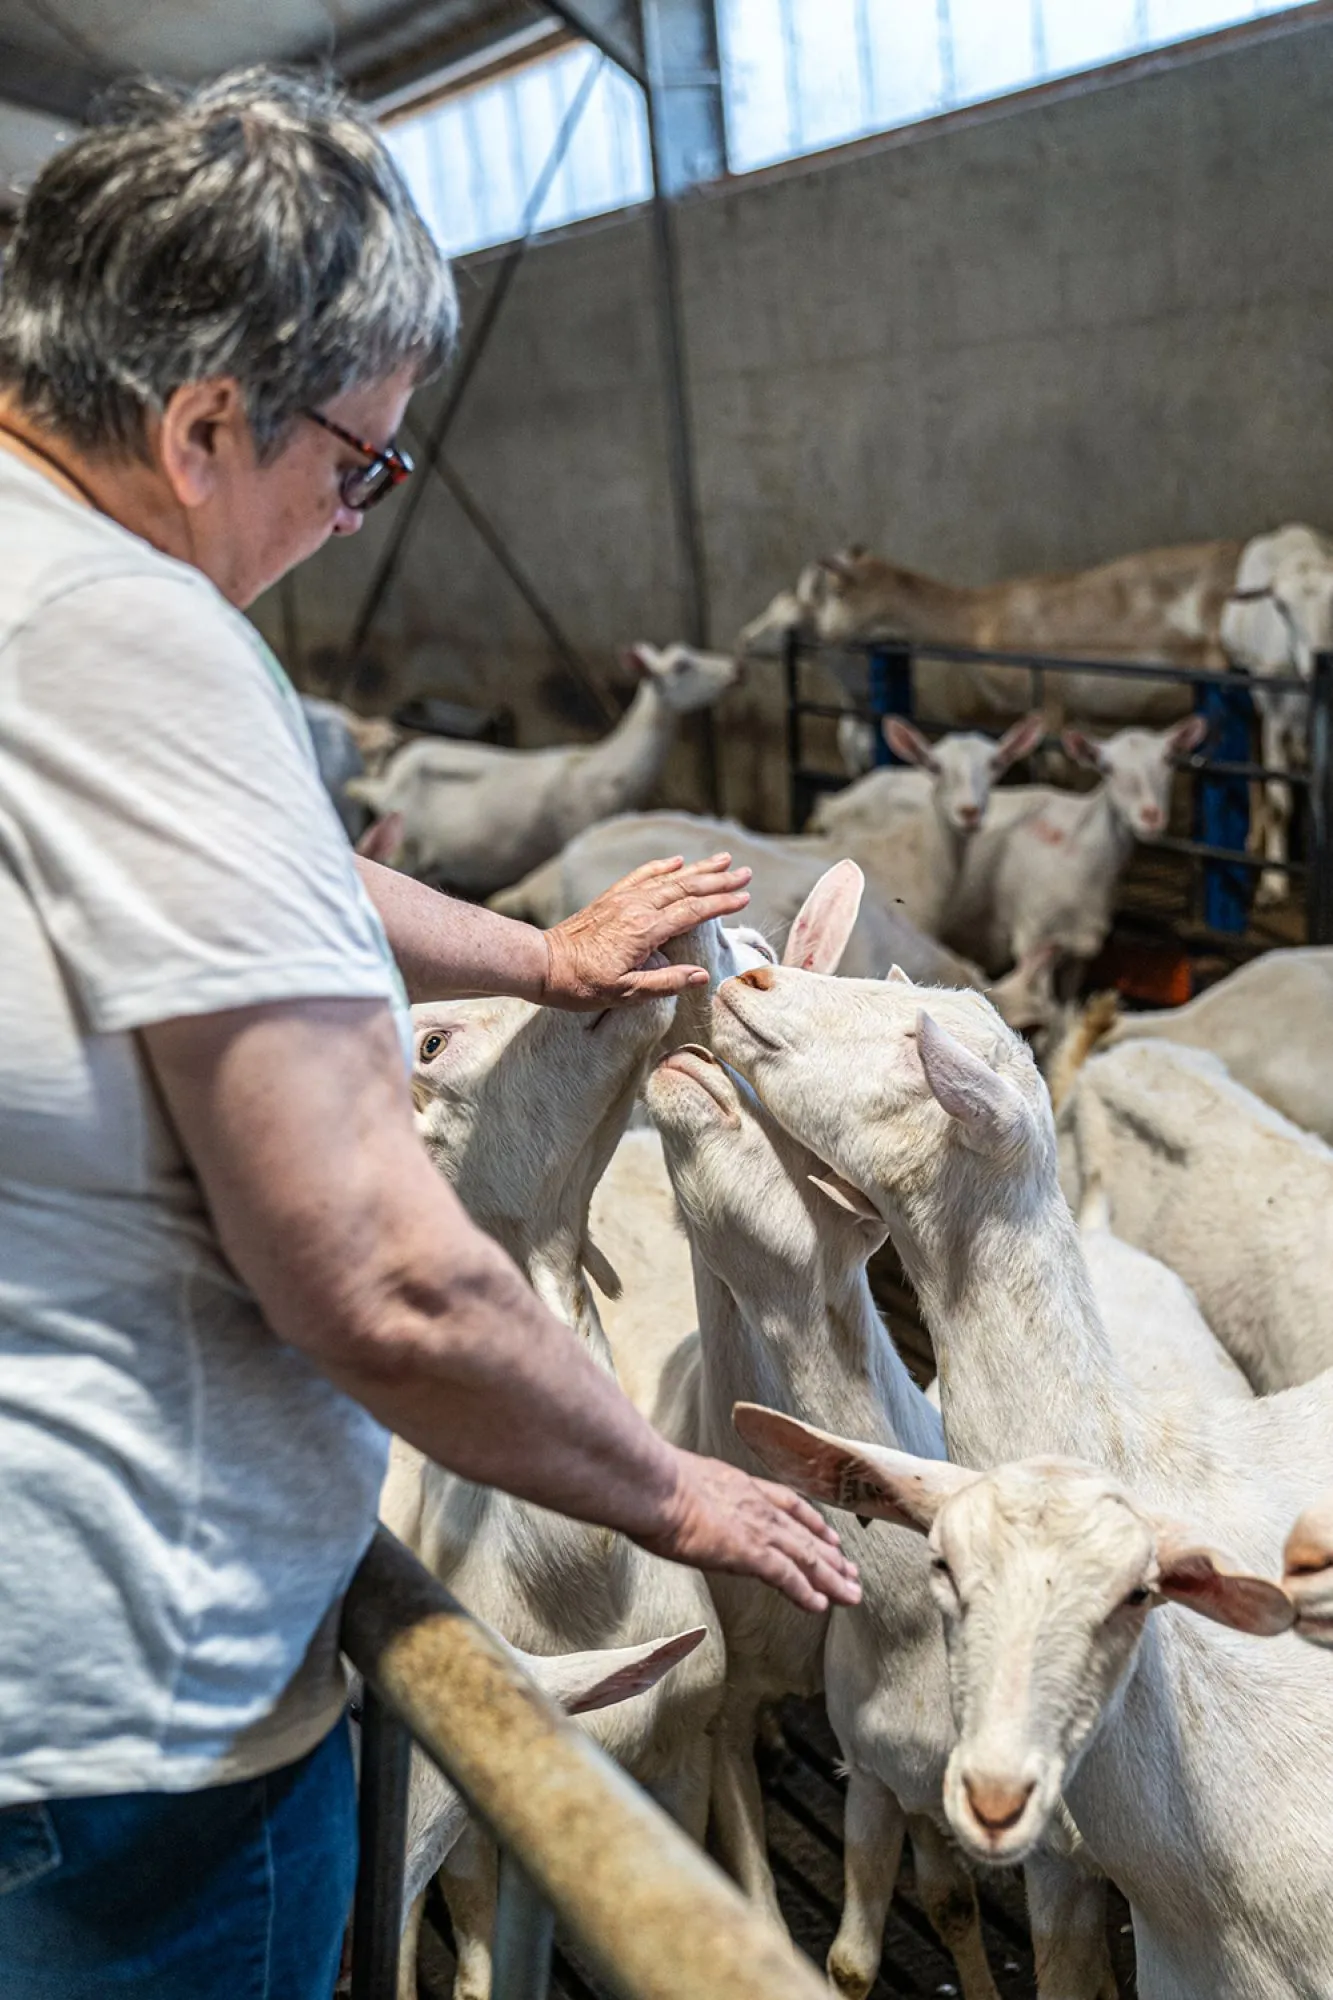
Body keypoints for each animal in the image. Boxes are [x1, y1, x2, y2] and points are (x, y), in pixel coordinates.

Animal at [352, 644, 736, 896]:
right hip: (404, 848)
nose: (733, 670)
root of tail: (383, 783)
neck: (606, 768)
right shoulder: (577, 826)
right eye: (681, 666)